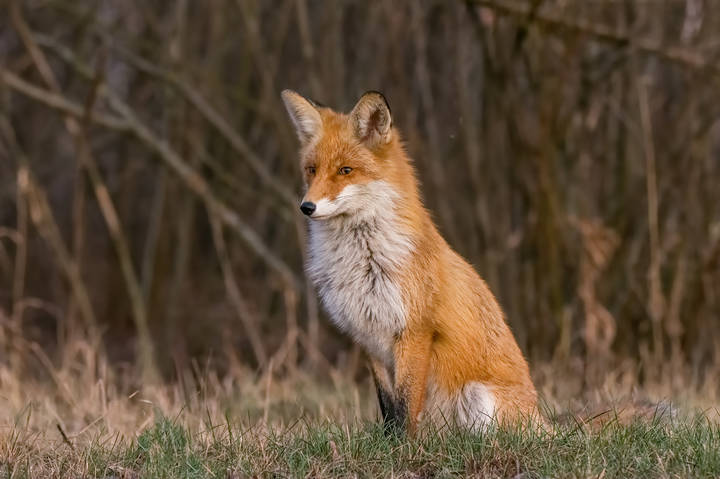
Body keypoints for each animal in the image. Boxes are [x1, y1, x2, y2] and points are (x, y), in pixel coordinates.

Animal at [281, 89, 538, 435]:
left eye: (345, 170)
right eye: (311, 169)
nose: (306, 207)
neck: (364, 261)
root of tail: (543, 420)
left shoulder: (414, 331)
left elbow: (406, 404)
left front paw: (405, 445)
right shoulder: (368, 336)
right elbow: (388, 405)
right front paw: (388, 442)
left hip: (478, 396)